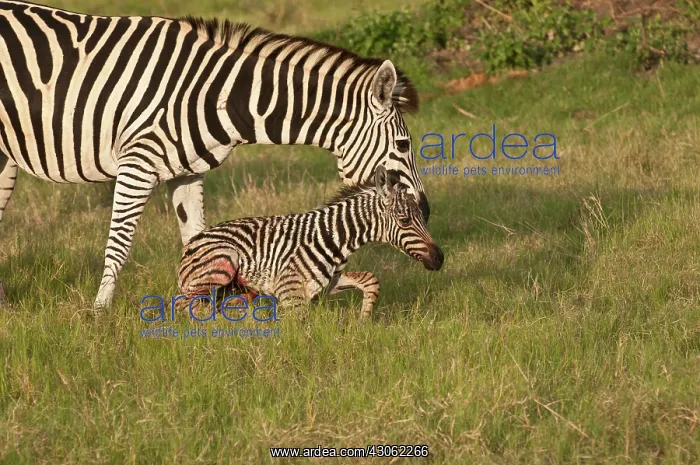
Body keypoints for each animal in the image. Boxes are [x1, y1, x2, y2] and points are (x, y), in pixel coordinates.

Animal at [0, 1, 430, 309]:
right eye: (404, 146)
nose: (425, 210)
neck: (219, 94)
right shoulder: (138, 160)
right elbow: (119, 244)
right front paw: (100, 312)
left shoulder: (185, 170)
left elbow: (198, 237)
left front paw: (217, 302)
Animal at [177, 166, 443, 317]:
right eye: (405, 221)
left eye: (422, 218)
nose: (439, 259)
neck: (336, 237)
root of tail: (190, 244)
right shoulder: (288, 290)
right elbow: (300, 334)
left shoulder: (328, 283)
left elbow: (370, 280)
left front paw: (364, 318)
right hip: (223, 265)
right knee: (187, 306)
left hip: (237, 289)